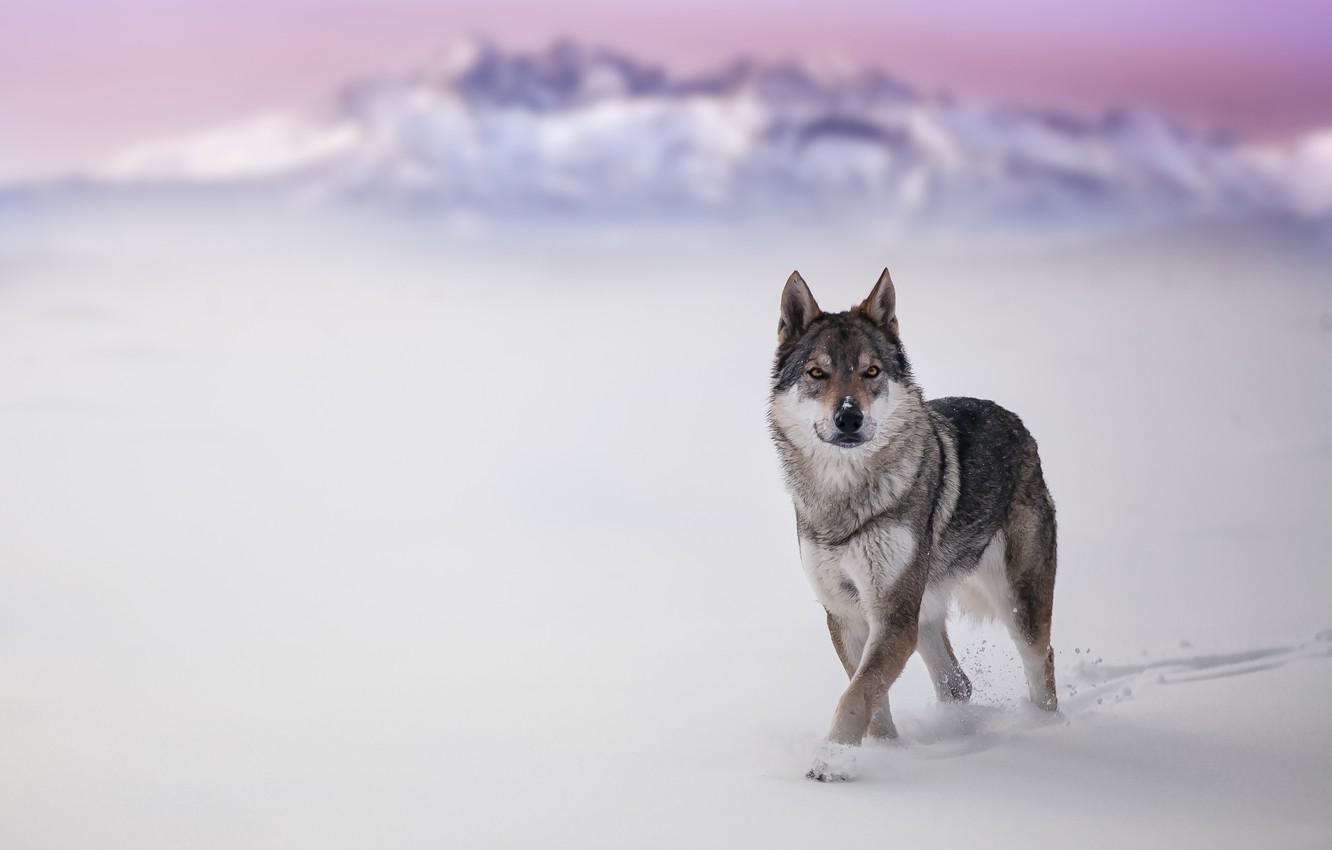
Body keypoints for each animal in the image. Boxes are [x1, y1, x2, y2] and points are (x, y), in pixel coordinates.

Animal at [768, 268, 1058, 781]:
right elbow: (871, 698)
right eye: (817, 373)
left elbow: (856, 695)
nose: (849, 417)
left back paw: (1047, 732)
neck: (845, 499)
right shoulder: (847, 615)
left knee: (1041, 661)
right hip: (924, 615)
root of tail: (1017, 423)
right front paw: (884, 753)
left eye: (871, 372)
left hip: (1015, 607)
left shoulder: (892, 617)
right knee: (959, 683)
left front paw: (828, 763)